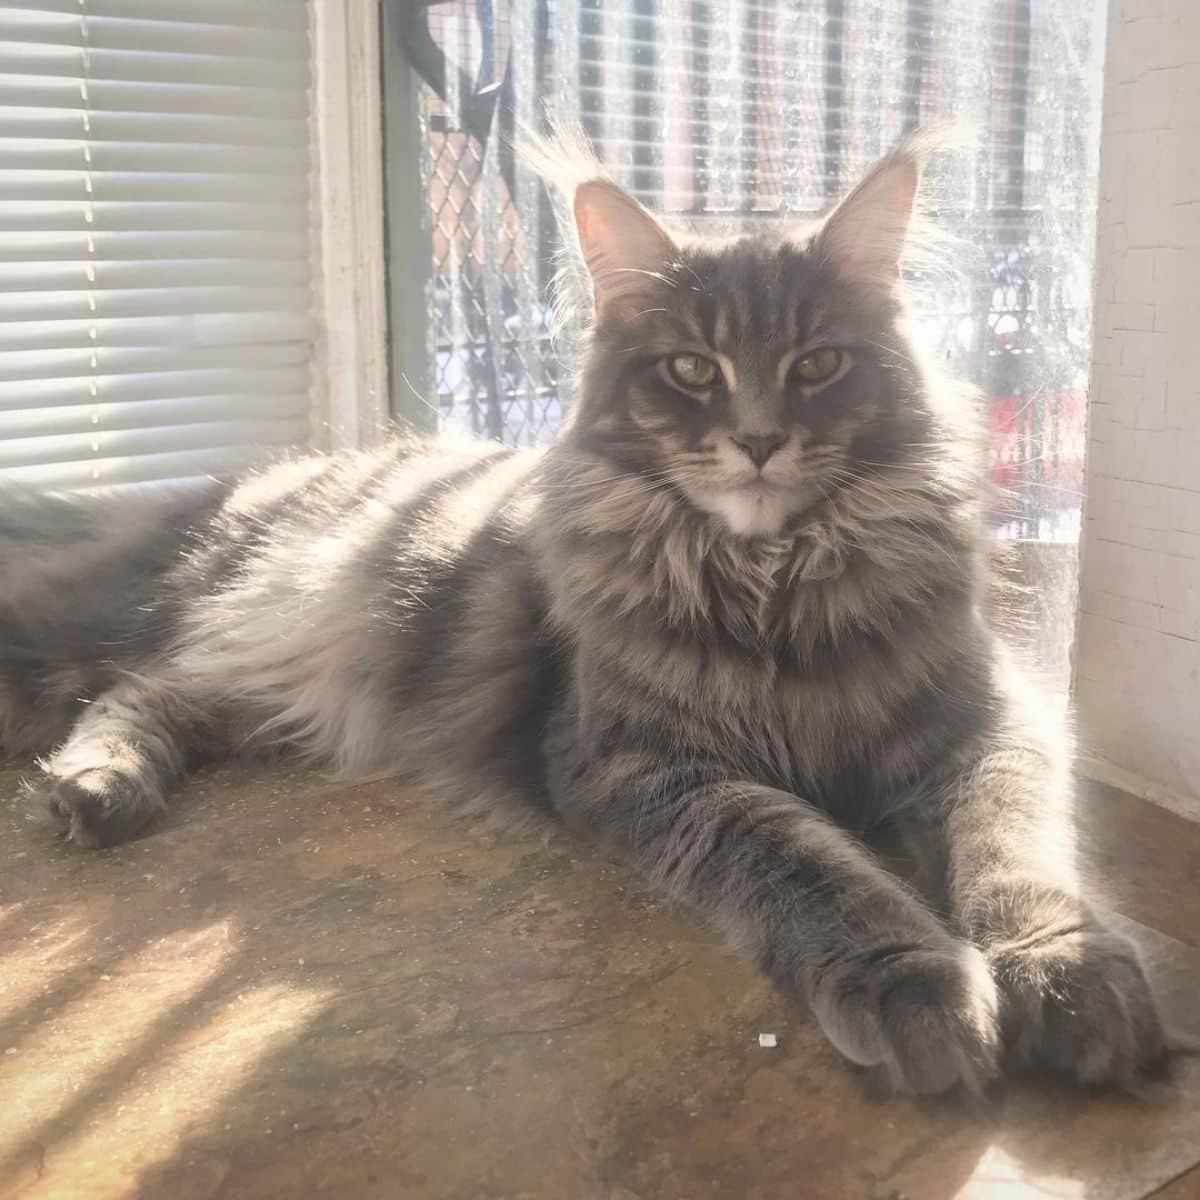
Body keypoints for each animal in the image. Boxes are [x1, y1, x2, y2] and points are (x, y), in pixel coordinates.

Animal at [0, 133, 1171, 1099]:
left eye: (818, 363)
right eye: (693, 369)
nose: (758, 440)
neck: (771, 579)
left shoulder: (993, 723)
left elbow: (1016, 847)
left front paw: (1067, 971)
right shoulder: (643, 764)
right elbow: (812, 863)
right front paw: (920, 984)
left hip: (270, 688)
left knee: (151, 689)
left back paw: (103, 784)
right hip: (145, 620)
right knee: (125, 677)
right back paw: (87, 787)